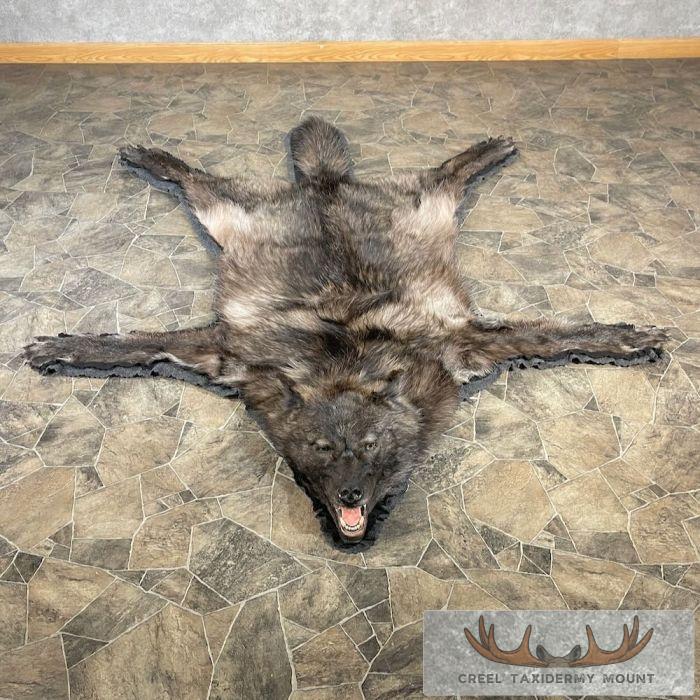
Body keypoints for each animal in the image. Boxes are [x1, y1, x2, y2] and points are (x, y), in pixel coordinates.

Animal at [25, 117, 667, 544]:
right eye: (322, 449)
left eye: (372, 445)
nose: (351, 496)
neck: (344, 361)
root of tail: (326, 183)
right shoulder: (231, 353)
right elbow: (136, 345)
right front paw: (67, 346)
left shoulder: (464, 344)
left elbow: (552, 336)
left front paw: (625, 340)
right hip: (228, 216)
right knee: (194, 179)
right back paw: (152, 157)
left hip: (426, 210)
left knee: (447, 176)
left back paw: (486, 151)